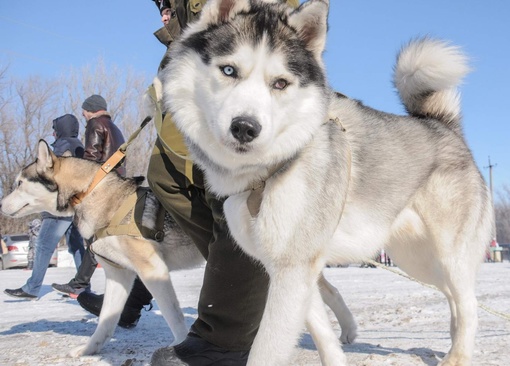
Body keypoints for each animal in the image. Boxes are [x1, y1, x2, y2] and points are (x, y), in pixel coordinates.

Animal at [0, 140, 356, 358]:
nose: (1, 205)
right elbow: (105, 322)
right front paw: (89, 351)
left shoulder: (152, 271)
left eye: (19, 183)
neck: (95, 195)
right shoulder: (119, 276)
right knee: (328, 290)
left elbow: (173, 318)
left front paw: (183, 346)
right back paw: (347, 331)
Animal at [159, 0, 494, 364]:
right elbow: (321, 330)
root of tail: (443, 126)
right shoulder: (293, 271)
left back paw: (458, 355)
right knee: (456, 300)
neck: (269, 172)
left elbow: (266, 349)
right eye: (229, 70)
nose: (245, 128)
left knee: (469, 304)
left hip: (445, 256)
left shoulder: (292, 270)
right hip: (418, 260)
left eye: (280, 83)